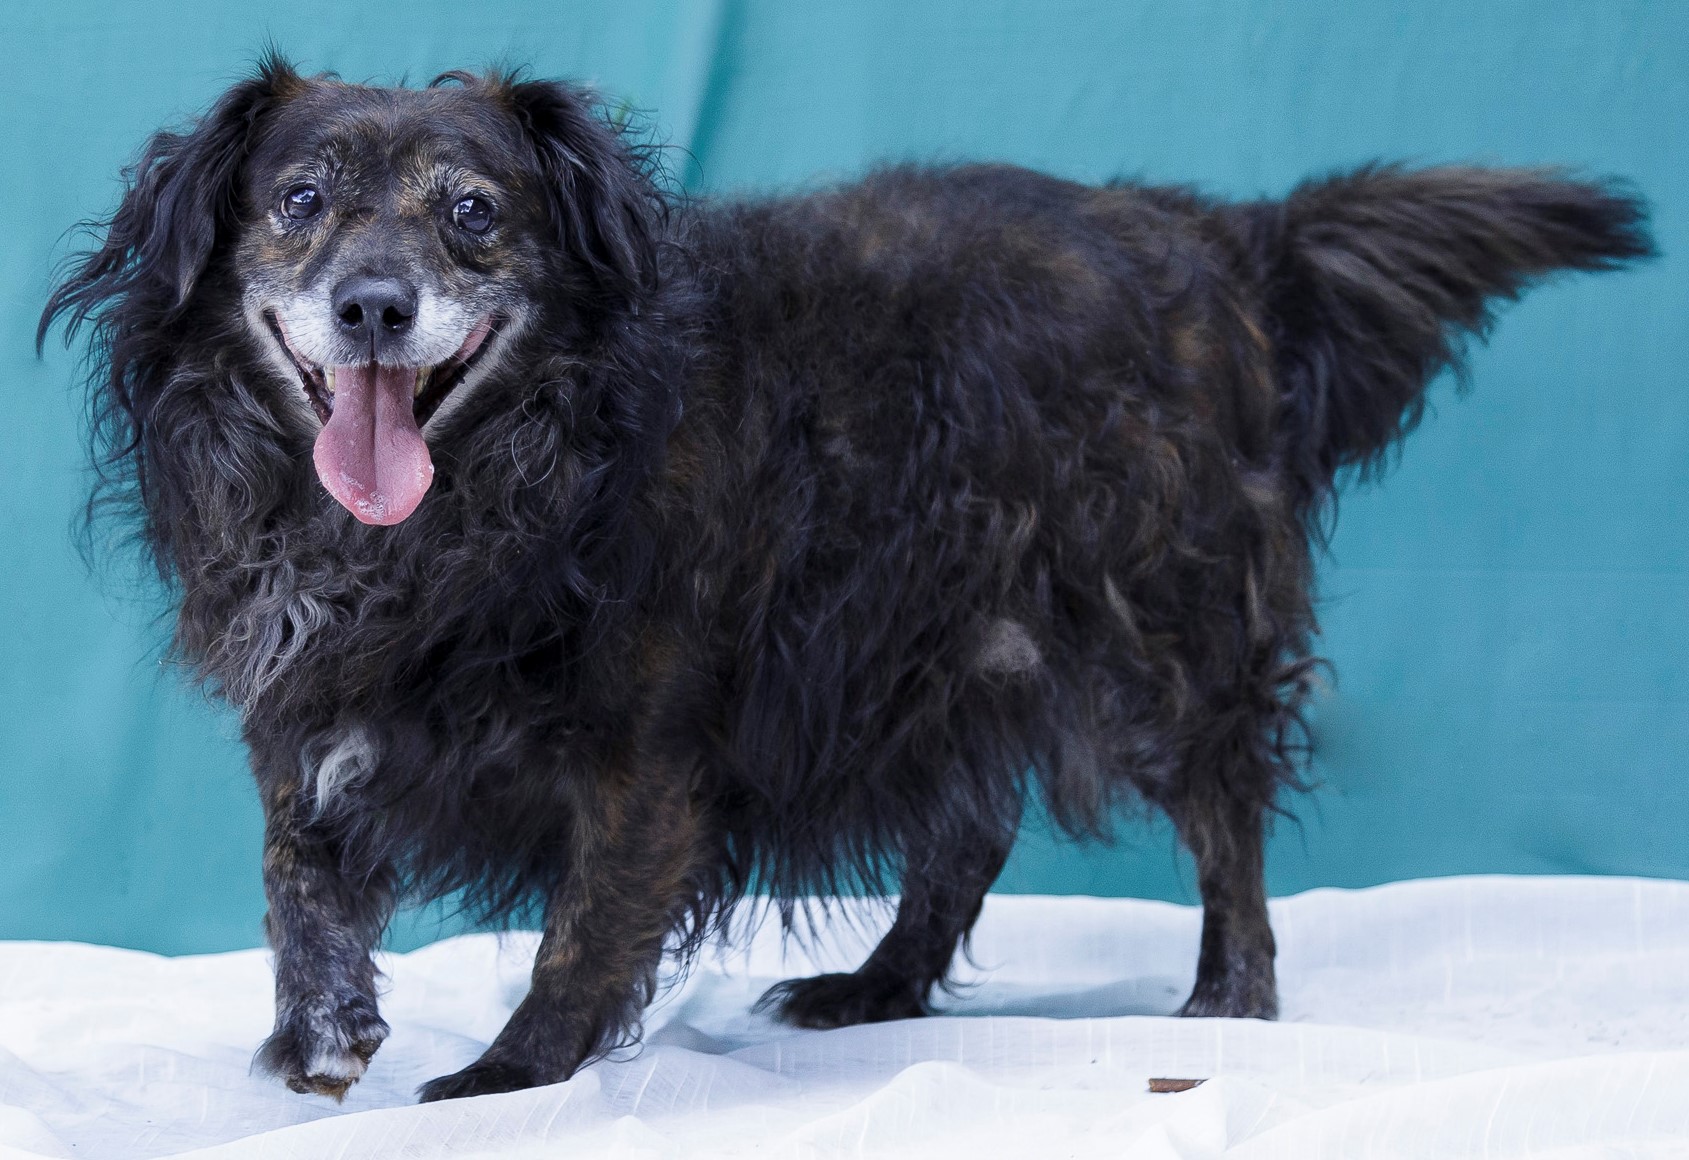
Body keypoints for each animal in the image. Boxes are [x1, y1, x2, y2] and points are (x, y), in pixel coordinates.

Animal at [39, 56, 1648, 1107]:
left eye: (474, 214)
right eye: (300, 200)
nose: (374, 306)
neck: (484, 507)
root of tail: (1211, 238)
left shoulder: (645, 748)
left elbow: (585, 926)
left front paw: (506, 1079)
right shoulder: (309, 714)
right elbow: (293, 880)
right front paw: (318, 1033)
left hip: (1160, 628)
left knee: (1225, 818)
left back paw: (1226, 999)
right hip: (953, 646)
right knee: (971, 830)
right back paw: (877, 986)